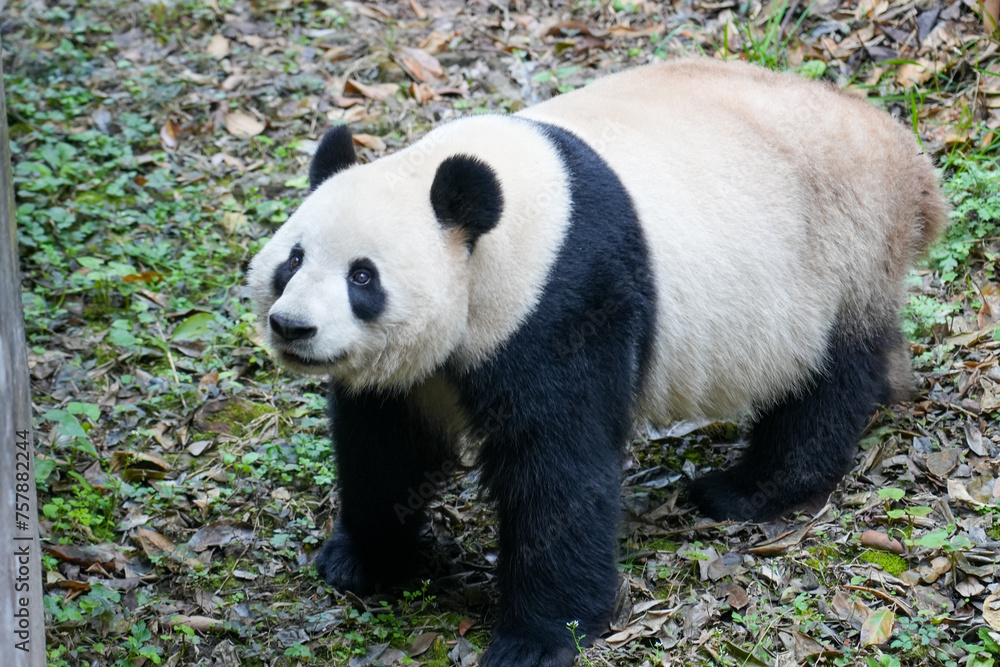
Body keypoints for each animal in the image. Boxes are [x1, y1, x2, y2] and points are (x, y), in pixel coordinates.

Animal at [247, 58, 946, 666]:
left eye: (363, 276)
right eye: (294, 259)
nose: (293, 326)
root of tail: (908, 162)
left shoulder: (566, 296)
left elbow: (560, 464)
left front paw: (538, 637)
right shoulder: (417, 367)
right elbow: (386, 444)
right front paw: (363, 558)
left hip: (840, 251)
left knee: (823, 384)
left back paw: (748, 489)